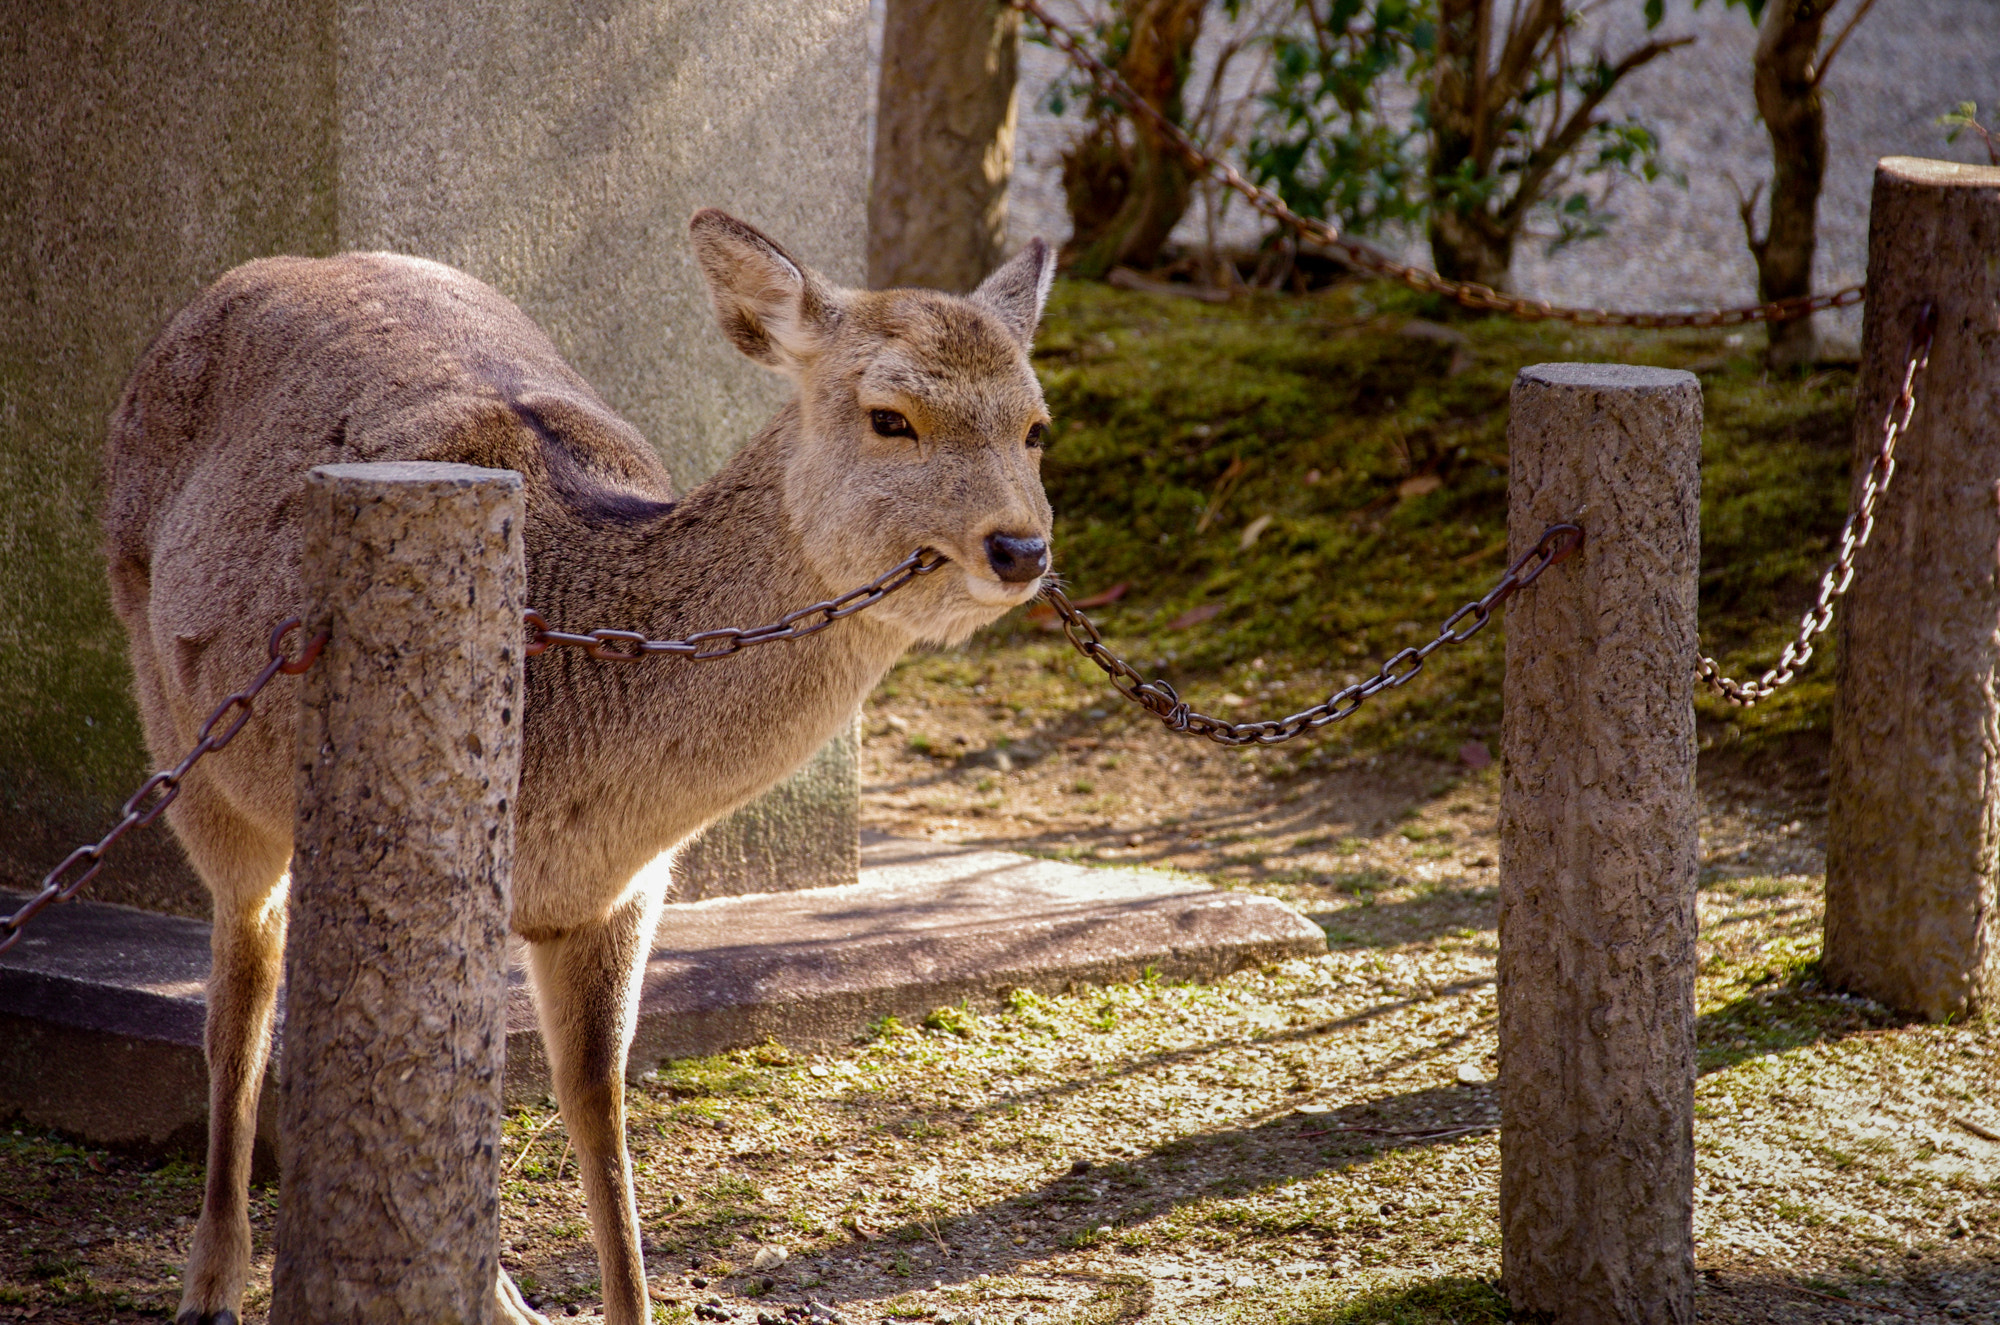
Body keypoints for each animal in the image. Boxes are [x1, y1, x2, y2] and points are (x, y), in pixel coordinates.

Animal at [105, 213, 1064, 1320]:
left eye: (1036, 425)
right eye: (889, 417)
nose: (1020, 547)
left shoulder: (626, 889)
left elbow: (592, 1089)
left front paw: (597, 1296)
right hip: (182, 733)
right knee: (242, 995)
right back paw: (214, 1280)